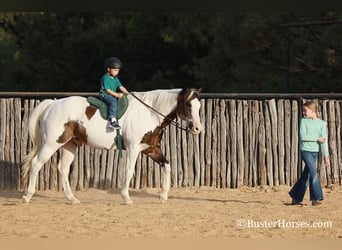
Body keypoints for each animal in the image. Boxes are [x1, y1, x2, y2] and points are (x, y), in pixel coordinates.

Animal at [21, 88, 202, 203]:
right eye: (188, 104)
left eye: (199, 106)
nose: (197, 129)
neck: (150, 113)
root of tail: (52, 104)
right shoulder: (133, 149)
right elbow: (129, 171)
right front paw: (126, 197)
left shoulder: (151, 149)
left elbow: (167, 166)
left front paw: (163, 195)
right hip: (51, 144)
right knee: (36, 164)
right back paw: (27, 196)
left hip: (69, 145)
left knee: (63, 169)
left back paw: (72, 199)